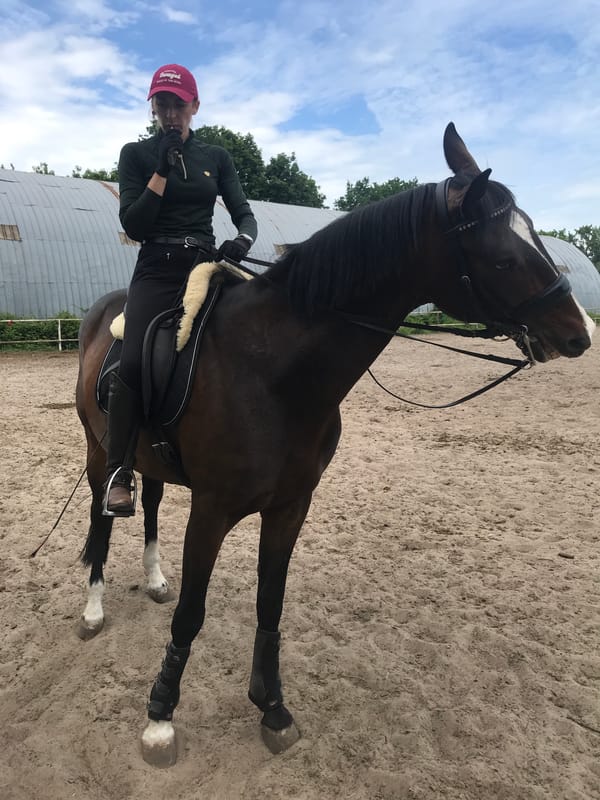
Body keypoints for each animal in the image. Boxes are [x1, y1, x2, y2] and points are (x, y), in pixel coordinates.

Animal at [75, 123, 594, 766]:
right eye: (503, 255)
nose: (580, 334)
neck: (272, 370)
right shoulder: (212, 510)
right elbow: (192, 614)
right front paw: (160, 717)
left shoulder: (291, 506)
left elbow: (270, 603)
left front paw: (272, 707)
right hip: (100, 454)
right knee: (102, 515)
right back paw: (93, 608)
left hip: (149, 462)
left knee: (146, 501)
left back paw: (151, 579)